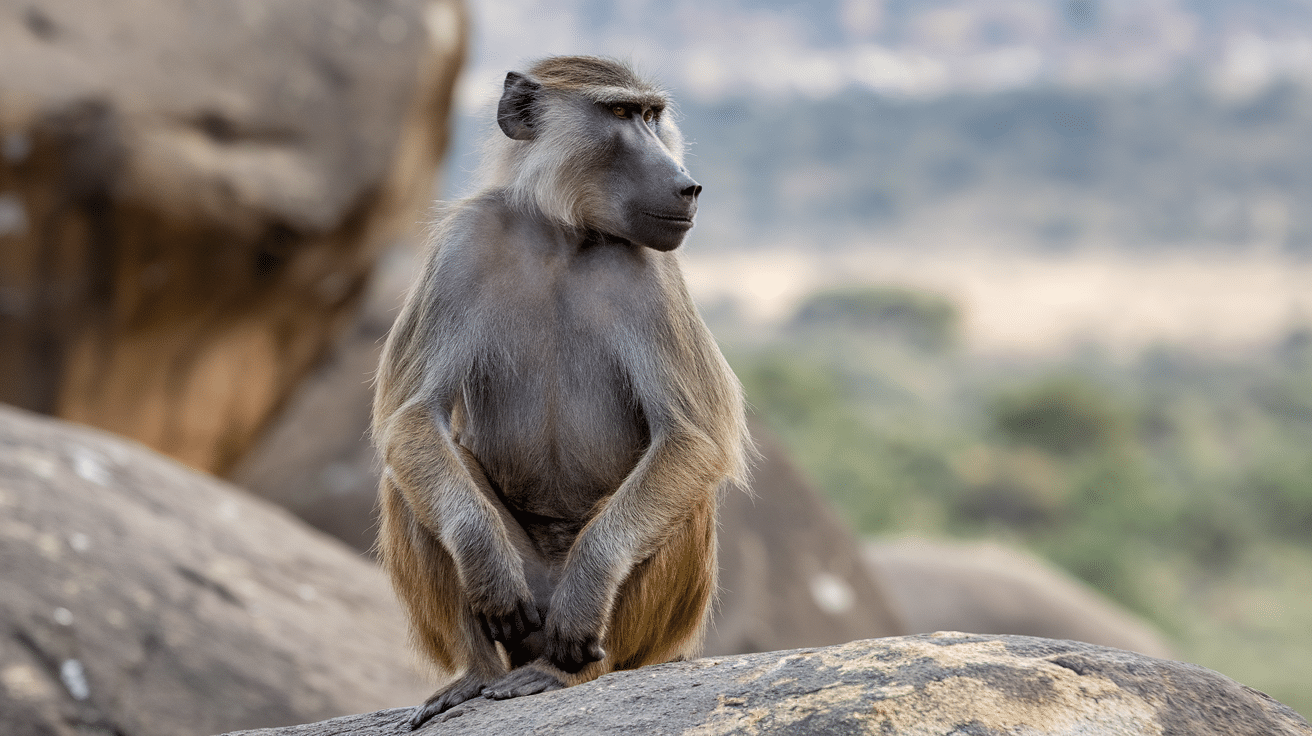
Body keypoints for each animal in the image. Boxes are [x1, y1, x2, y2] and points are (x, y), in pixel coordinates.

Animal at [371, 56, 751, 728]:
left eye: (653, 115)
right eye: (622, 113)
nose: (687, 188)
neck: (564, 236)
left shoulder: (655, 271)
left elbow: (694, 438)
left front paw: (589, 592)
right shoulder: (463, 242)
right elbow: (412, 416)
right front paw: (483, 562)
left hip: (635, 632)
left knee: (686, 498)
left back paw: (565, 672)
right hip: (528, 605)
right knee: (409, 476)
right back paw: (476, 674)